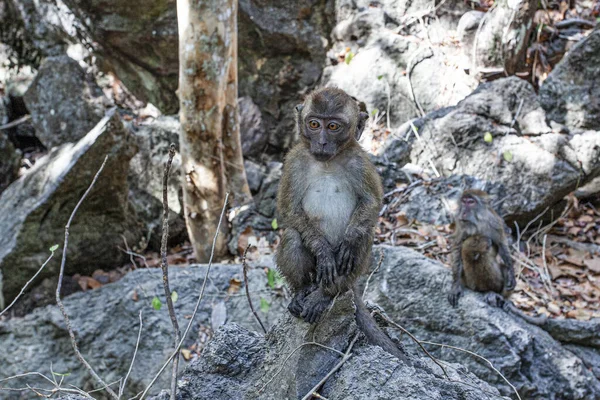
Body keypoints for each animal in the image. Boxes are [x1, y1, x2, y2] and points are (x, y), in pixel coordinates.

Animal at [276, 87, 408, 362]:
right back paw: (302, 291)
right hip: (315, 274)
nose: (322, 142)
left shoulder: (361, 162)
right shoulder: (294, 160)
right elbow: (288, 210)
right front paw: (322, 250)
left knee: (362, 239)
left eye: (333, 126)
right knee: (293, 235)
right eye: (314, 124)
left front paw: (348, 240)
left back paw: (327, 294)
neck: (328, 161)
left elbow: (371, 202)